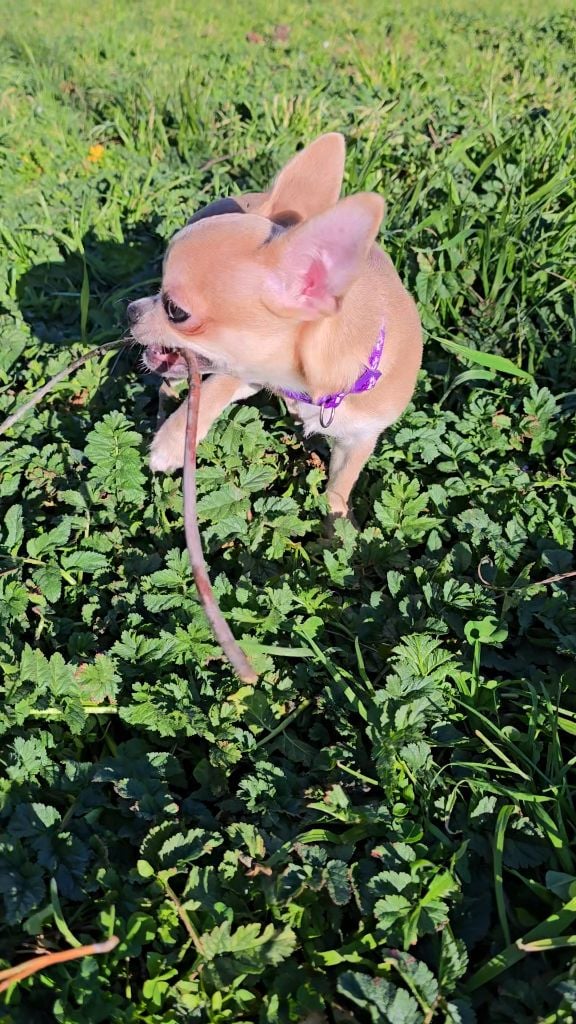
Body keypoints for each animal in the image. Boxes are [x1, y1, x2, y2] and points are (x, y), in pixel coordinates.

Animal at [127, 133, 422, 518]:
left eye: (176, 311)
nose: (131, 311)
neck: (313, 386)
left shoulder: (358, 440)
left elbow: (337, 494)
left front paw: (336, 527)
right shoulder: (248, 374)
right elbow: (214, 389)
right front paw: (174, 442)